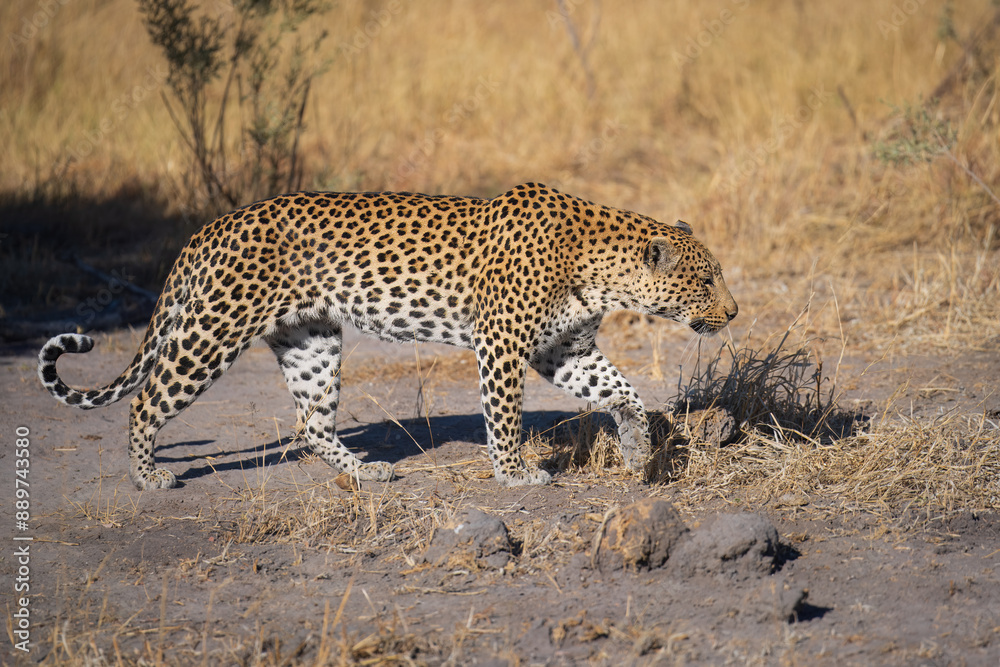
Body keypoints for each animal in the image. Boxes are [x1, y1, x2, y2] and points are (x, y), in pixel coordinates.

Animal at [38, 183, 738, 490]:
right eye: (707, 279)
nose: (732, 313)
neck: (600, 270)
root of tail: (211, 226)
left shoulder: (563, 349)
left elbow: (624, 392)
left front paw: (637, 450)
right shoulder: (503, 344)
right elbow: (504, 415)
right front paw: (515, 474)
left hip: (312, 340)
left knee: (312, 424)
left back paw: (366, 472)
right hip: (214, 329)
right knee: (145, 400)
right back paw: (147, 478)